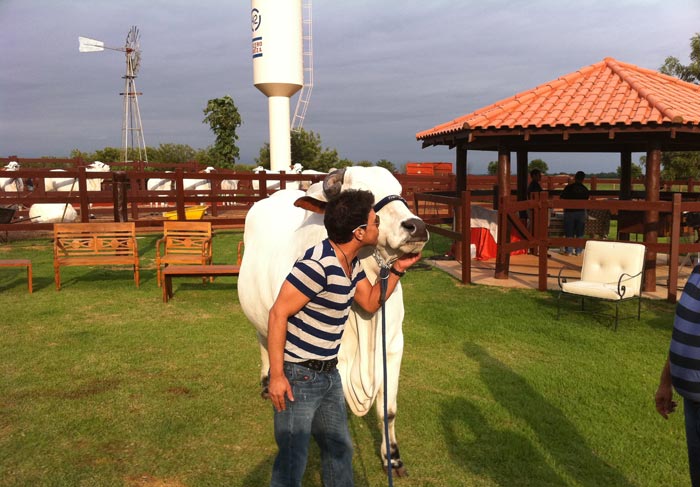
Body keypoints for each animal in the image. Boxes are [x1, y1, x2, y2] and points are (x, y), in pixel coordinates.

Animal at [238, 166, 430, 474]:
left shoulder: (393, 348)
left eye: (400, 191)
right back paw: (268, 382)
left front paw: (393, 457)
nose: (416, 226)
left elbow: (388, 411)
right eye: (363, 196)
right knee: (264, 341)